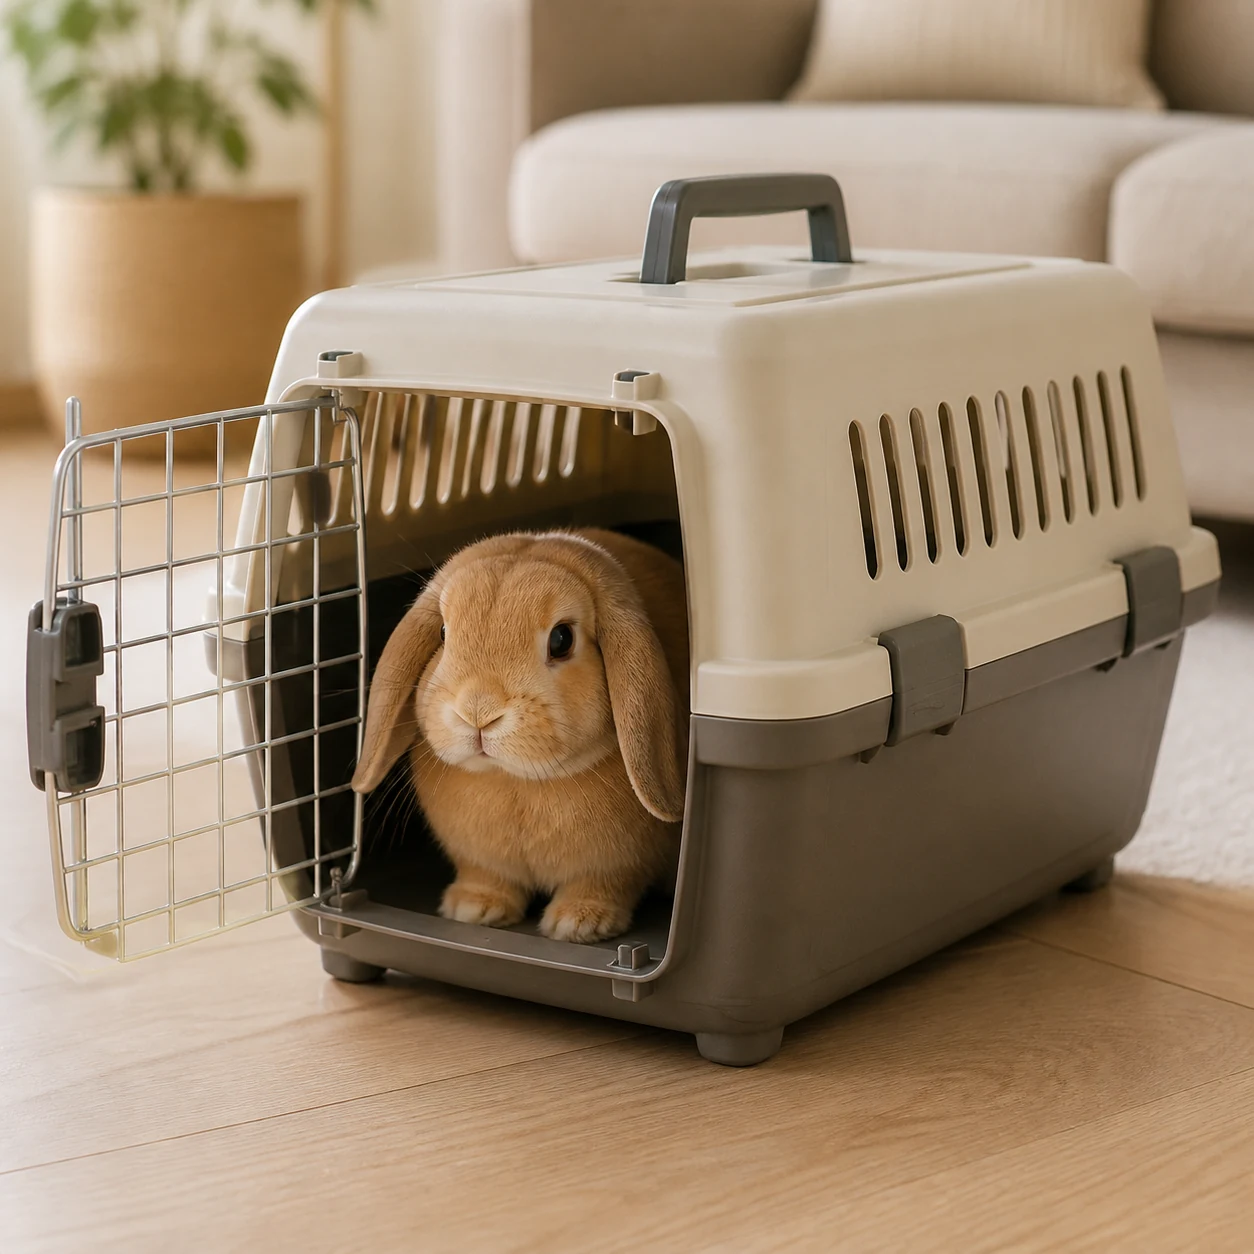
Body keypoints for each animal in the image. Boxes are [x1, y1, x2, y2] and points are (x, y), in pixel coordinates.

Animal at [351, 527, 689, 943]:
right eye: (444, 633)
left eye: (561, 639)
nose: (477, 712)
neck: (515, 782)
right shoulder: (480, 860)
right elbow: (487, 878)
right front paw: (472, 909)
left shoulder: (617, 866)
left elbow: (604, 883)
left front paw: (578, 923)